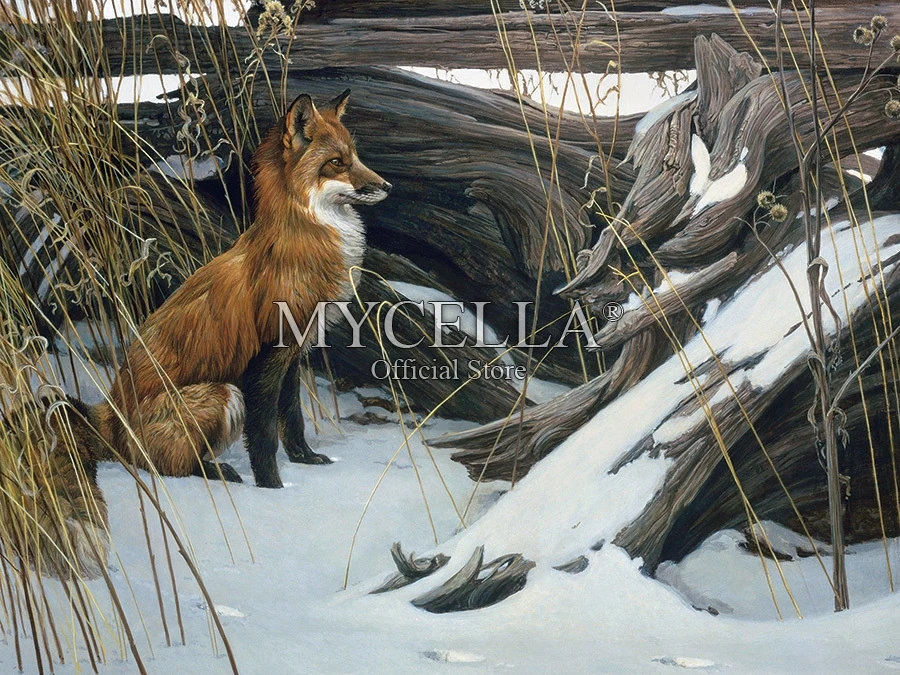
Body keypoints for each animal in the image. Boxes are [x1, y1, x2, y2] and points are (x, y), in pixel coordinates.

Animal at [81, 89, 389, 490]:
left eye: (355, 157)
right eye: (337, 163)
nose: (387, 186)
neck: (303, 244)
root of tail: (112, 422)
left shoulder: (293, 353)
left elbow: (292, 418)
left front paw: (305, 459)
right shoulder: (265, 358)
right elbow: (263, 435)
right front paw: (272, 488)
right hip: (223, 393)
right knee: (169, 466)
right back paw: (218, 472)